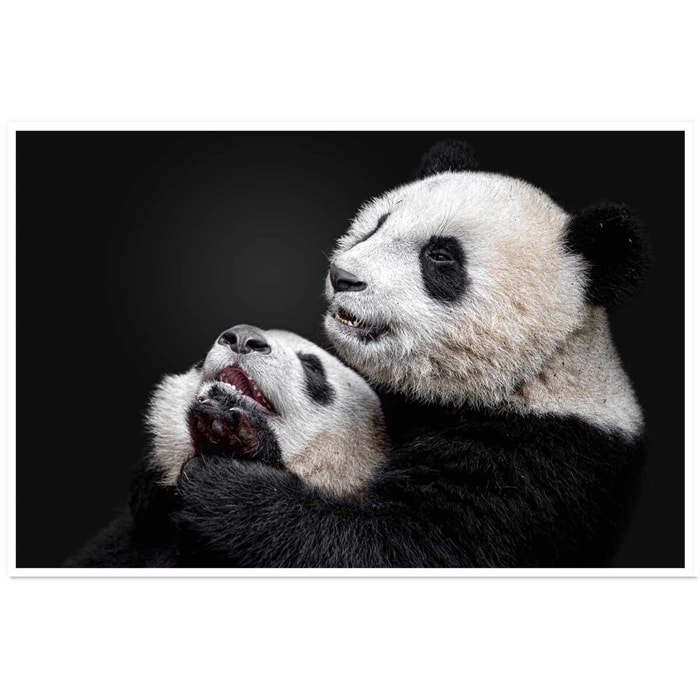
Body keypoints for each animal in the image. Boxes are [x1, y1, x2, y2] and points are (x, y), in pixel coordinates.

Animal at [175, 141, 649, 567]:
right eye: (377, 225)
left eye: (440, 256)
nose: (343, 276)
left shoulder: (537, 464)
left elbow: (400, 546)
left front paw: (228, 475)